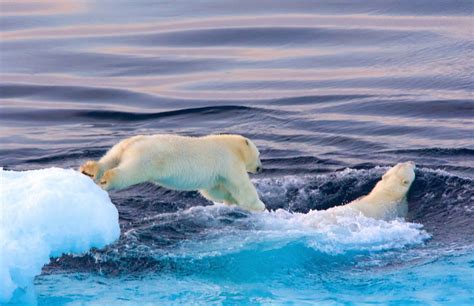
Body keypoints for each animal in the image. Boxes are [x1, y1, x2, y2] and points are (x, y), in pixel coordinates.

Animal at [80, 135, 266, 212]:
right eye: (259, 156)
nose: (260, 168)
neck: (232, 146)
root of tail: (131, 145)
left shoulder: (215, 173)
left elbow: (212, 190)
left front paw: (230, 200)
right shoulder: (228, 160)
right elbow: (241, 184)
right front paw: (259, 206)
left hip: (119, 147)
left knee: (109, 158)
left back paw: (89, 170)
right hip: (145, 160)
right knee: (129, 172)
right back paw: (106, 180)